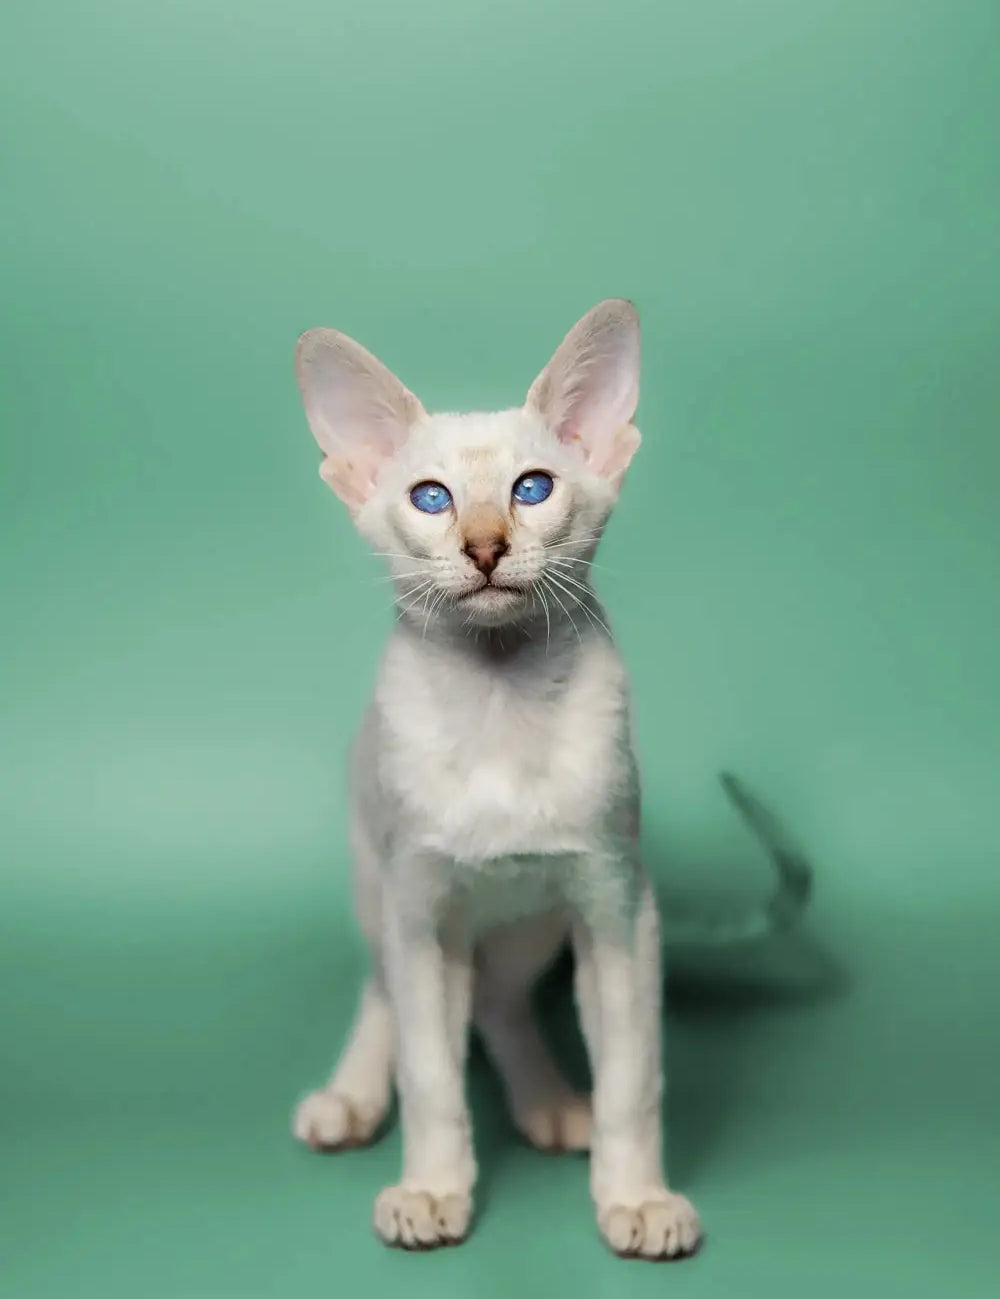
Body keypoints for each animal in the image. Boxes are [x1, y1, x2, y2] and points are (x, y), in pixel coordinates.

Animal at [290, 301, 701, 1257]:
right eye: (430, 498)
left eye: (533, 489)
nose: (484, 546)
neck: (500, 701)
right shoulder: (422, 912)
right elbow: (432, 1079)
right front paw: (433, 1189)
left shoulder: (617, 908)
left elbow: (635, 1080)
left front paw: (636, 1198)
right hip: (386, 896)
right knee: (390, 998)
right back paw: (352, 1099)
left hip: (532, 927)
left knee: (499, 1004)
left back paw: (549, 1103)